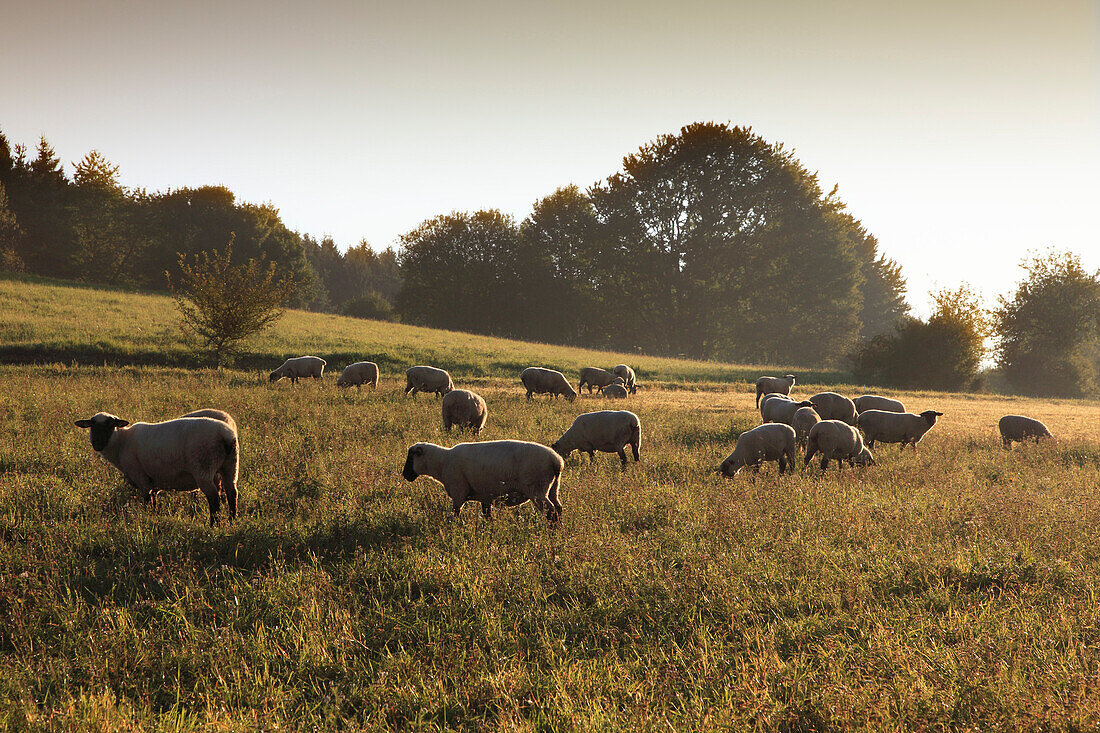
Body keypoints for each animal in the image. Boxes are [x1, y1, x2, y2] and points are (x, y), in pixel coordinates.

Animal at [74, 411, 239, 526]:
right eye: (92, 425)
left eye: (110, 425)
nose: (97, 444)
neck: (121, 443)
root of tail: (226, 435)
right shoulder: (153, 481)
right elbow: (154, 502)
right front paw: (155, 518)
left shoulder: (141, 477)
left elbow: (148, 502)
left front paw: (149, 519)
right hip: (231, 466)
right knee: (232, 493)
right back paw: (232, 521)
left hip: (203, 468)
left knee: (214, 498)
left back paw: (213, 525)